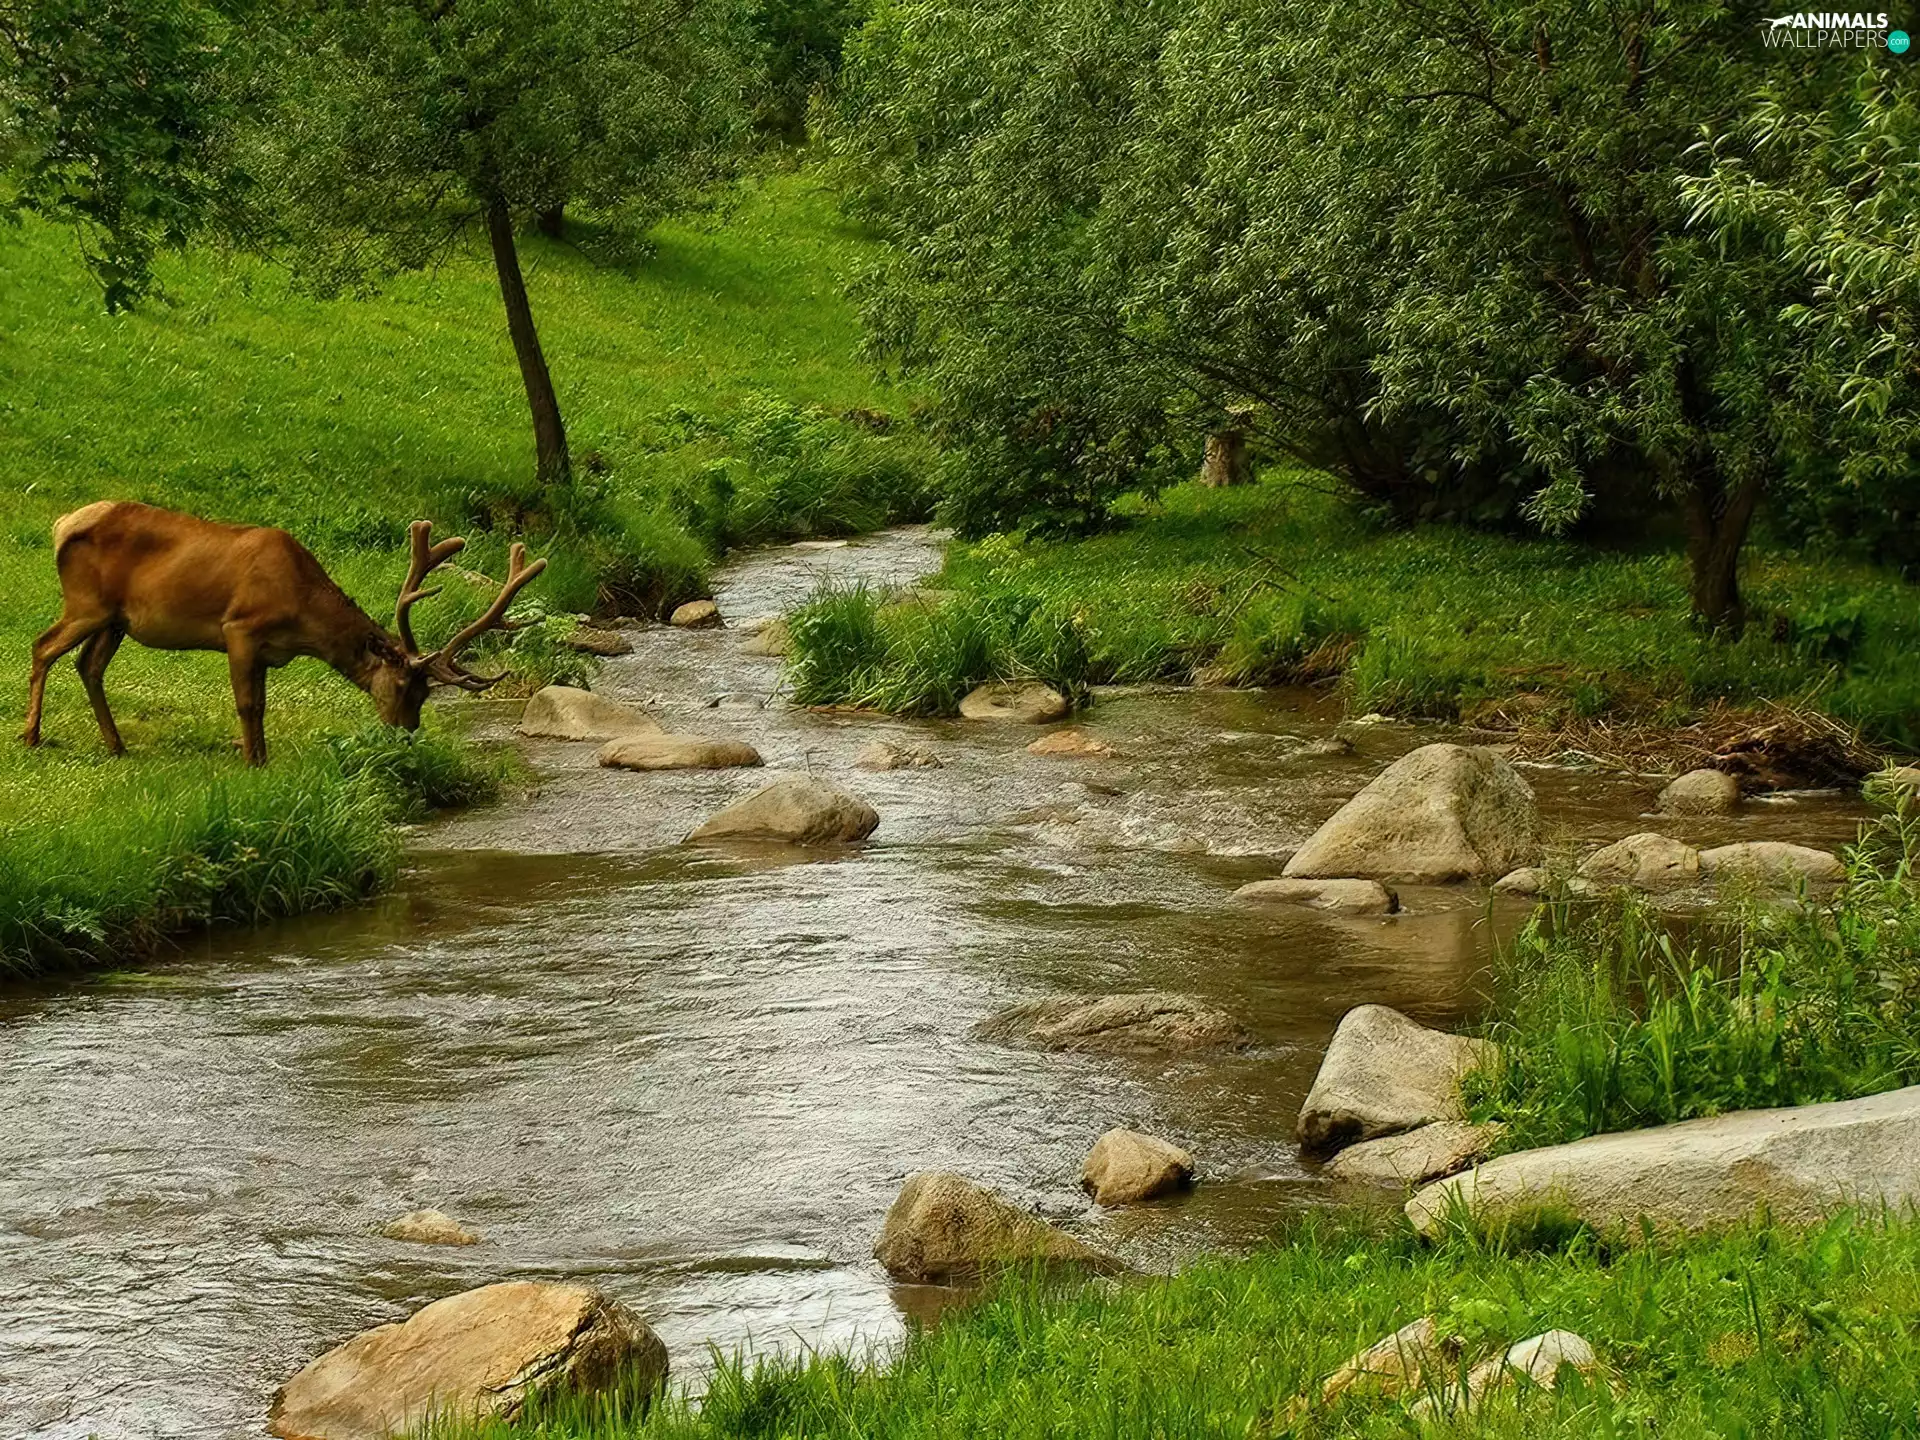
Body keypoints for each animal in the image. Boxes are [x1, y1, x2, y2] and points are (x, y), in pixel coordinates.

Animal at [23, 500, 546, 766]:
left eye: (427, 694)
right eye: (403, 686)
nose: (406, 734)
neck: (301, 615)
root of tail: (60, 524)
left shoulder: (267, 651)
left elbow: (262, 702)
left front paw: (261, 754)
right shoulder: (239, 628)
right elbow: (247, 703)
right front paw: (252, 762)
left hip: (115, 619)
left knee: (87, 665)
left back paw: (116, 745)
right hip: (86, 603)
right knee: (42, 646)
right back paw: (31, 735)